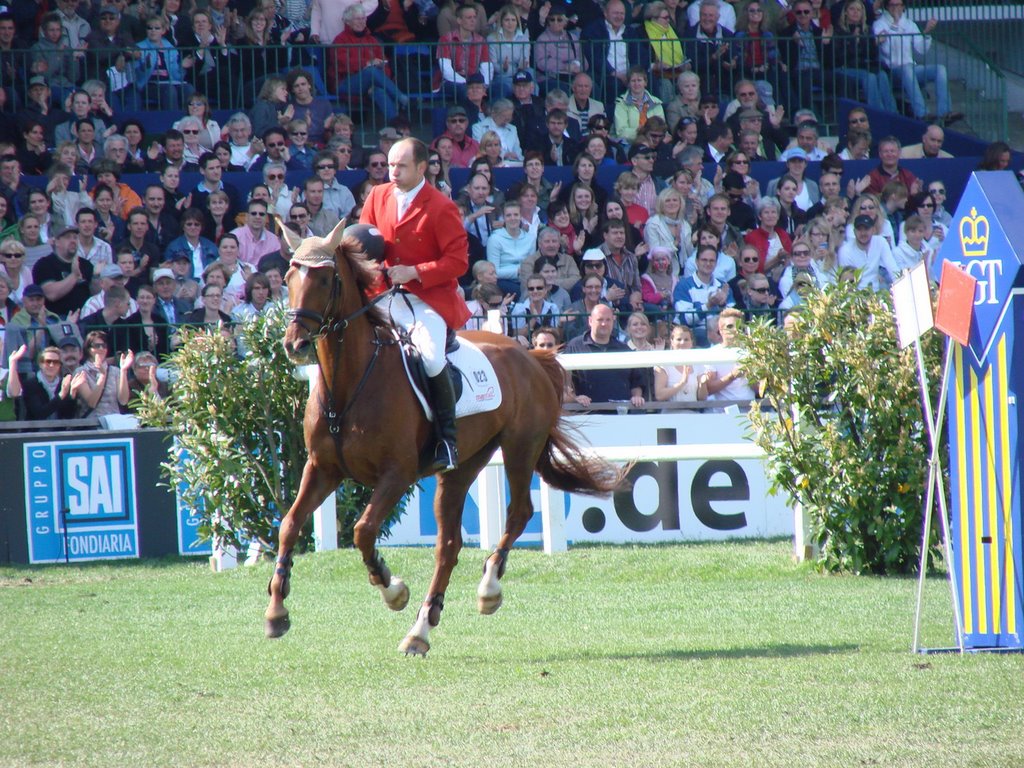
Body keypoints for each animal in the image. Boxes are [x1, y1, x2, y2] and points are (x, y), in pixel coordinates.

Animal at [264, 222, 618, 655]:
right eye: (288, 278)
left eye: (326, 279)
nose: (294, 344)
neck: (350, 383)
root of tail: (531, 355)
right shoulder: (322, 469)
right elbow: (290, 524)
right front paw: (276, 612)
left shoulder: (396, 475)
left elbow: (363, 530)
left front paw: (393, 589)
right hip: (463, 465)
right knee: (448, 544)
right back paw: (421, 628)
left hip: (520, 447)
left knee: (518, 513)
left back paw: (487, 589)